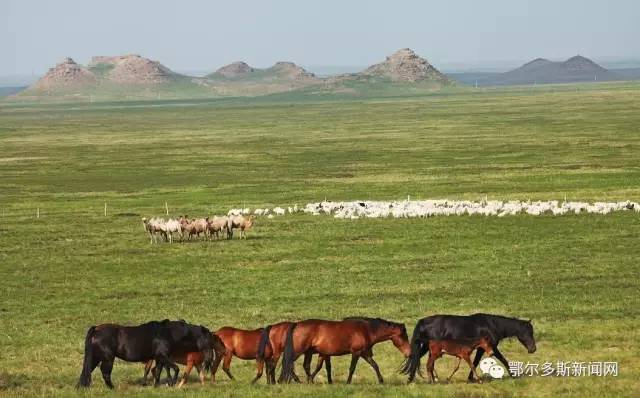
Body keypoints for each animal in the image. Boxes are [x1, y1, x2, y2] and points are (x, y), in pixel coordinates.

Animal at [77, 320, 218, 388]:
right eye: (208, 339)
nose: (210, 359)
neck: (167, 333)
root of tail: (96, 329)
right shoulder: (163, 356)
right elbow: (175, 368)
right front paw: (172, 383)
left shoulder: (159, 358)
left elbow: (158, 371)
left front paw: (156, 386)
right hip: (107, 358)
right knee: (105, 373)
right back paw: (112, 388)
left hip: (96, 357)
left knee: (88, 371)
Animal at [280, 316, 410, 384]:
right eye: (403, 336)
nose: (409, 353)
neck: (366, 330)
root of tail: (296, 324)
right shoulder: (356, 352)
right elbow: (352, 368)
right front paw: (348, 382)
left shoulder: (364, 353)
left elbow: (375, 365)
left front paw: (381, 381)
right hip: (298, 351)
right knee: (288, 362)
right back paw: (298, 380)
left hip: (308, 352)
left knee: (304, 365)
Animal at [400, 314, 536, 382]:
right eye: (528, 332)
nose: (533, 349)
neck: (492, 325)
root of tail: (423, 321)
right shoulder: (490, 347)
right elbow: (502, 359)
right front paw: (514, 375)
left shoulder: (481, 348)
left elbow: (474, 362)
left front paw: (471, 378)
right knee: (422, 360)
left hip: (428, 348)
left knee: (418, 359)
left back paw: (416, 379)